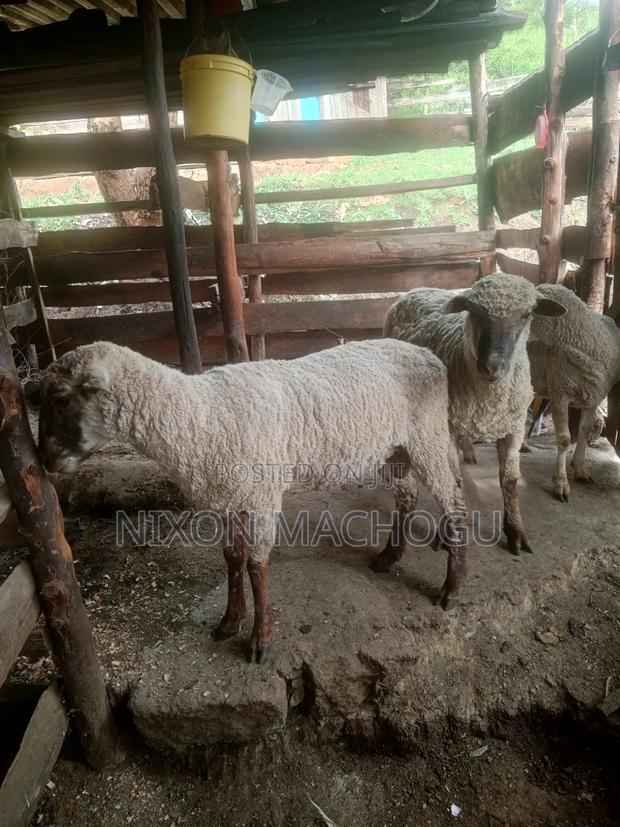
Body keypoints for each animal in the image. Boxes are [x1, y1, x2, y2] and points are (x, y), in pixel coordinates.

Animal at [37, 339, 466, 663]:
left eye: (61, 399)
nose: (45, 461)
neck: (200, 417)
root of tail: (429, 354)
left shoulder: (261, 495)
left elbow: (258, 566)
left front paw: (261, 640)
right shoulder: (228, 498)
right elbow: (232, 559)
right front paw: (230, 621)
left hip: (426, 436)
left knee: (454, 502)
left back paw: (451, 588)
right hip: (396, 449)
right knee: (408, 495)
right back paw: (388, 557)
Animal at [381, 273, 566, 561]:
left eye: (527, 313)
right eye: (473, 311)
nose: (491, 366)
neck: (489, 400)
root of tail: (417, 289)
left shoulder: (513, 428)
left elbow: (510, 480)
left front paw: (515, 532)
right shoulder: (448, 429)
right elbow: (454, 483)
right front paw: (448, 533)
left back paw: (469, 451)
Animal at [527, 283, 620, 501]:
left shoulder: (594, 397)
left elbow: (584, 430)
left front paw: (580, 469)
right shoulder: (560, 394)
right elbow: (564, 438)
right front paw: (561, 483)